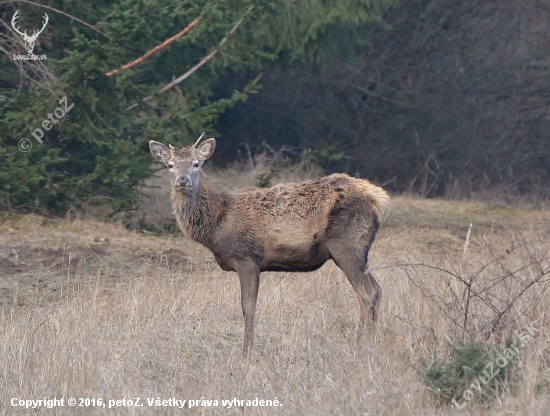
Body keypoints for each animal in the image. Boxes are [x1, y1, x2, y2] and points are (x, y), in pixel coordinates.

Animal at [151, 135, 390, 356]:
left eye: (197, 164)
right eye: (170, 165)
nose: (182, 180)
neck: (217, 225)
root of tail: (378, 199)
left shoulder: (247, 257)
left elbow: (248, 306)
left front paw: (247, 351)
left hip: (347, 244)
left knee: (368, 292)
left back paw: (361, 342)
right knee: (376, 289)